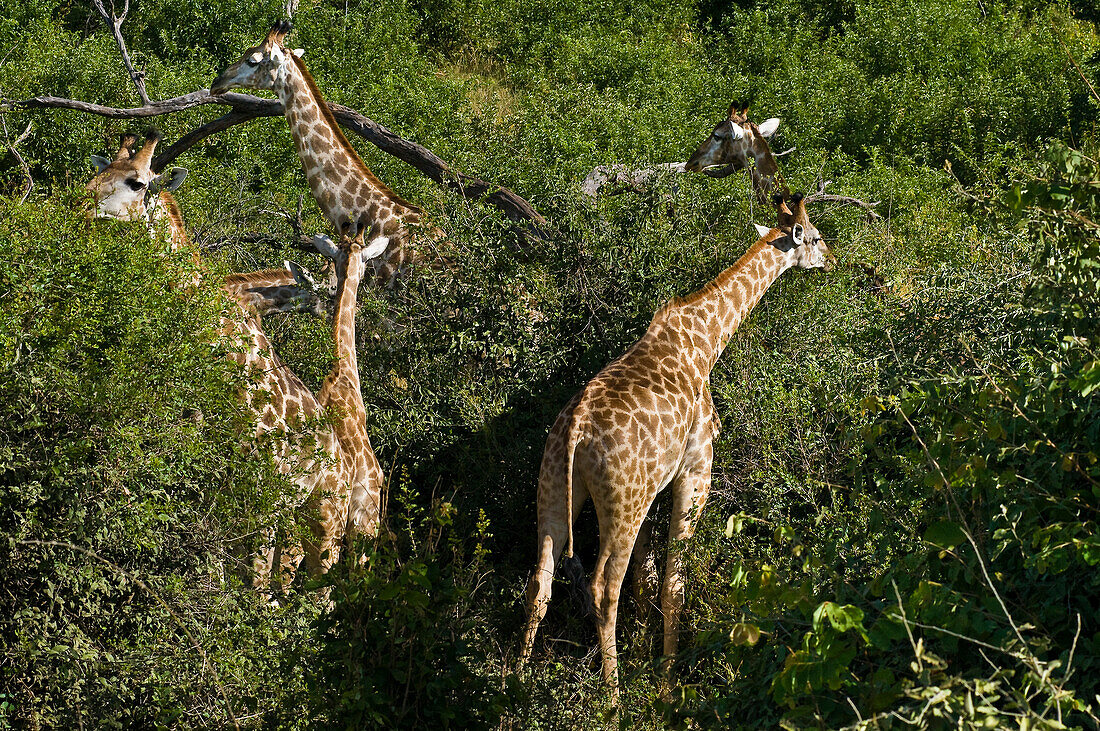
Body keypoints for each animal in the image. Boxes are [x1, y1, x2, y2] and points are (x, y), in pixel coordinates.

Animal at [81, 131, 374, 584]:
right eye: (103, 170)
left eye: (137, 183)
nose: (80, 202)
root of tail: (343, 462)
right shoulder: (214, 470)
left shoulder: (264, 482)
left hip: (324, 517)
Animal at [519, 193, 836, 703]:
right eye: (816, 235)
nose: (831, 258)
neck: (707, 342)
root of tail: (574, 434)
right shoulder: (696, 469)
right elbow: (673, 585)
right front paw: (667, 688)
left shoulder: (658, 486)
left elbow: (648, 584)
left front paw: (652, 664)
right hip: (622, 502)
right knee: (603, 587)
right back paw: (614, 699)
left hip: (552, 488)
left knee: (541, 581)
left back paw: (514, 681)